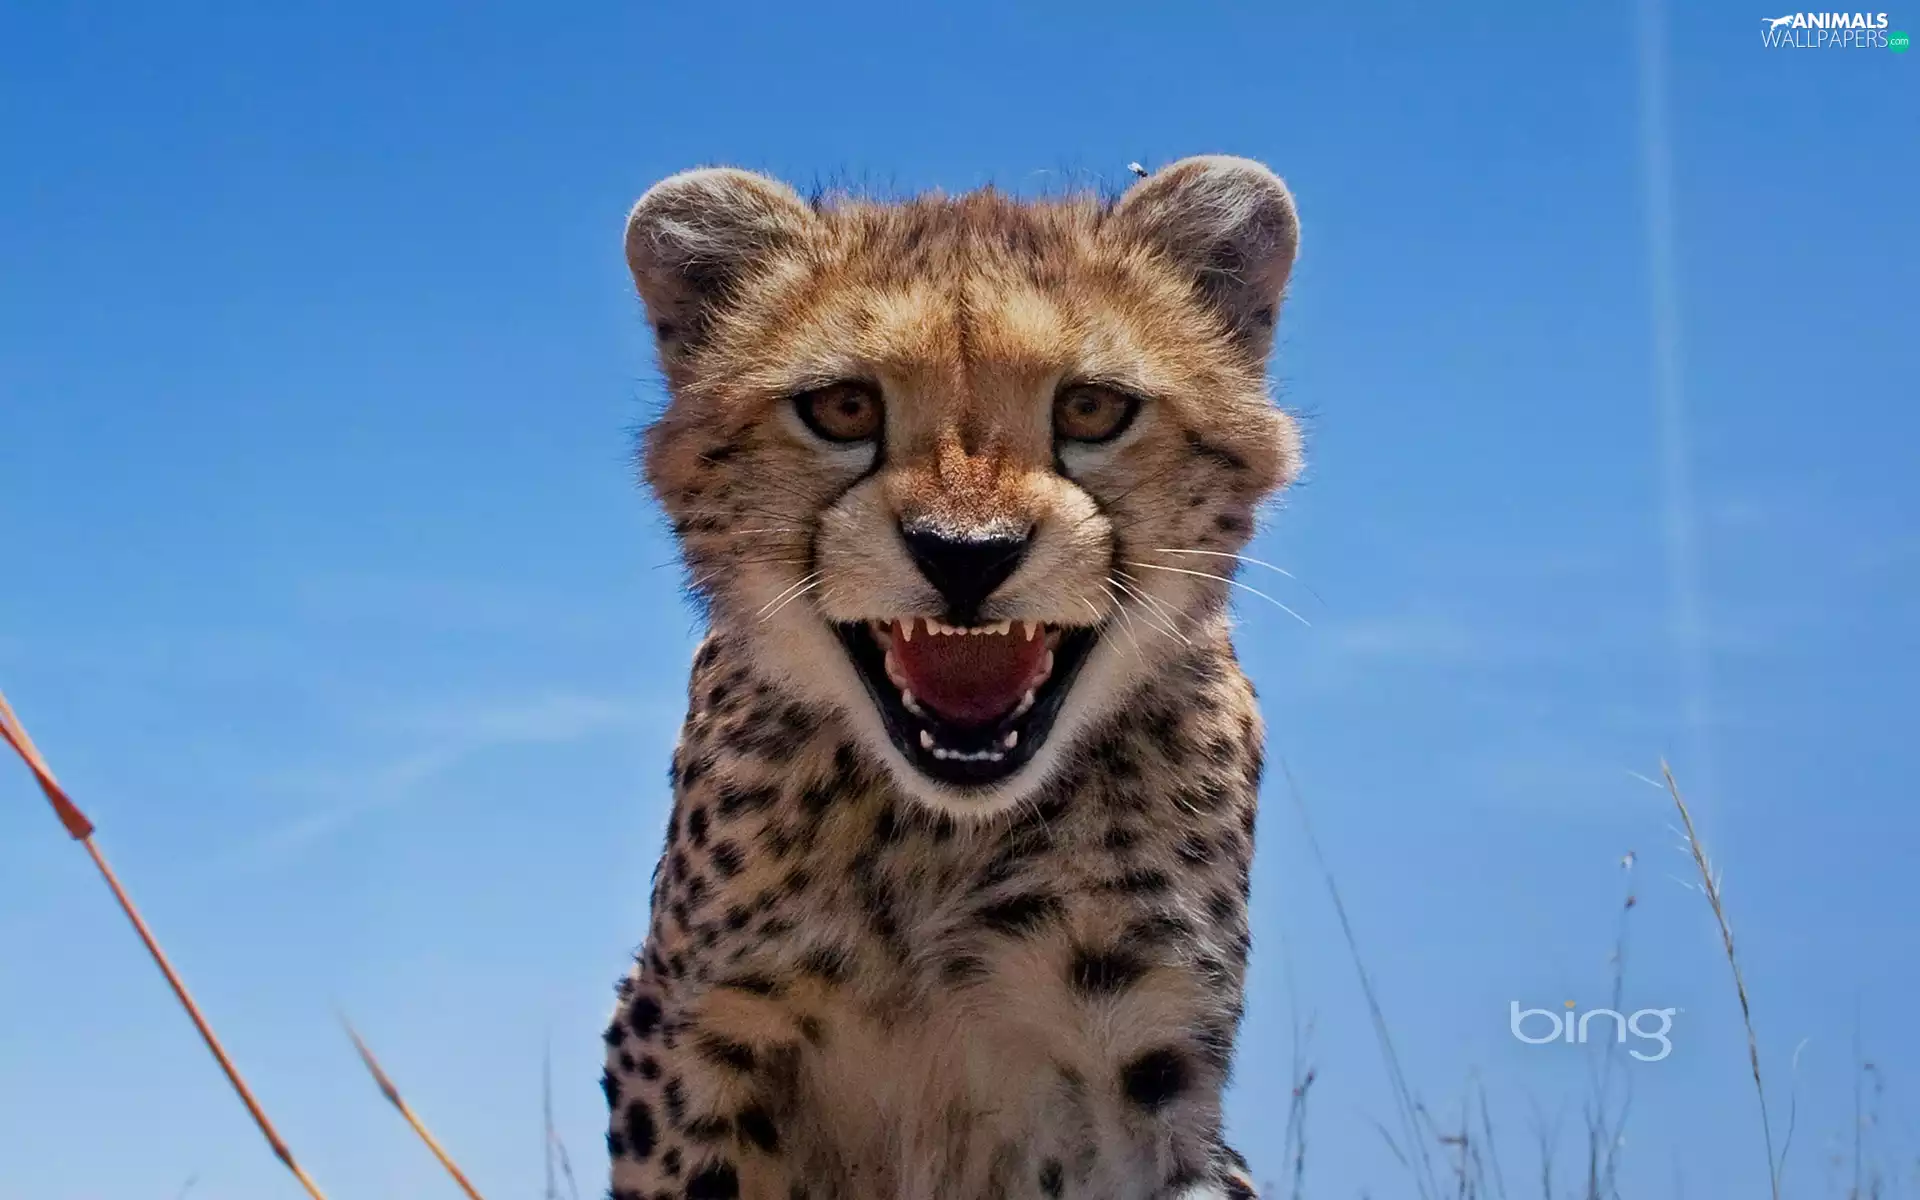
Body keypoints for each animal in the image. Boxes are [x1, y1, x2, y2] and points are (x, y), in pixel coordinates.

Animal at [604, 155, 1303, 1200]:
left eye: (1091, 409)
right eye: (844, 408)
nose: (966, 554)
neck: (942, 834)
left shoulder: (1150, 1058)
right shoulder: (690, 1031)